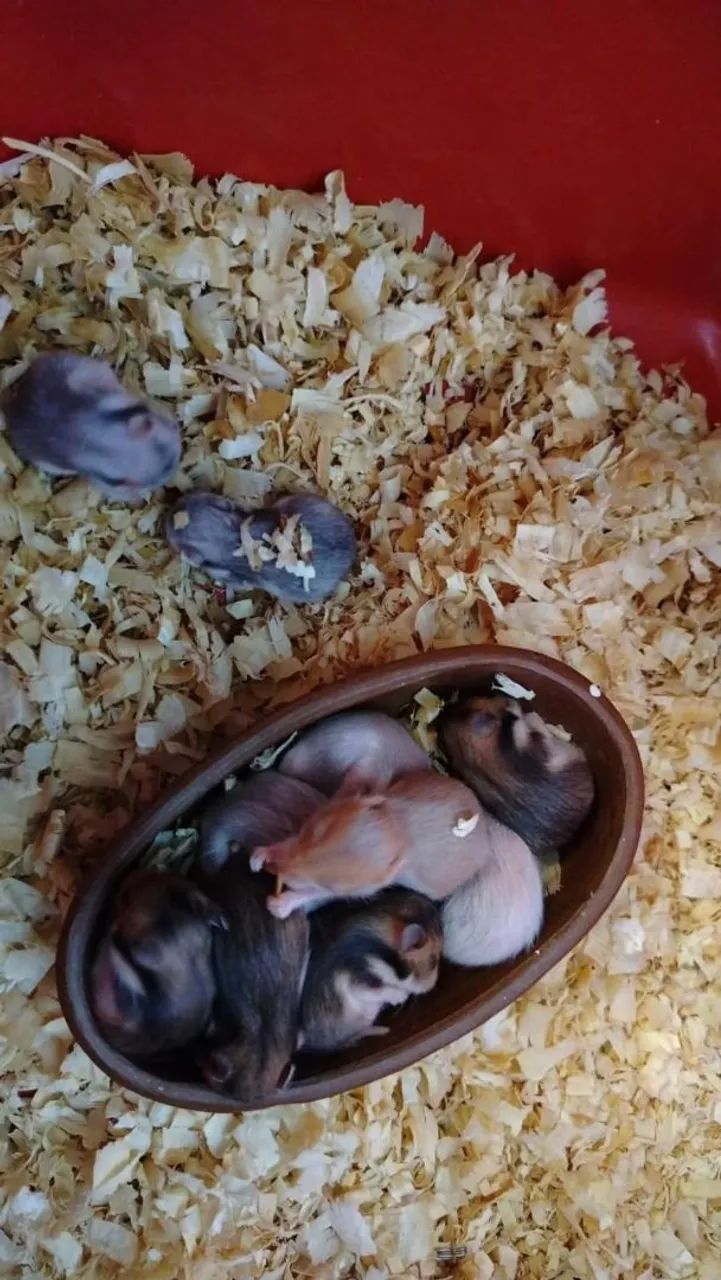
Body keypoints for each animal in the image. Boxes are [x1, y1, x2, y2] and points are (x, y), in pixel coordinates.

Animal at [251, 772, 517, 917]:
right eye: (315, 831)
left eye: (330, 882)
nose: (276, 871)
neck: (398, 828)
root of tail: (483, 826)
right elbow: (288, 843)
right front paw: (258, 857)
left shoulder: (354, 890)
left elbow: (314, 894)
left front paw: (277, 905)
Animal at [300, 889, 442, 1052]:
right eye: (433, 962)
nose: (431, 988)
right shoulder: (358, 981)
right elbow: (378, 990)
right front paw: (402, 997)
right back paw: (382, 1030)